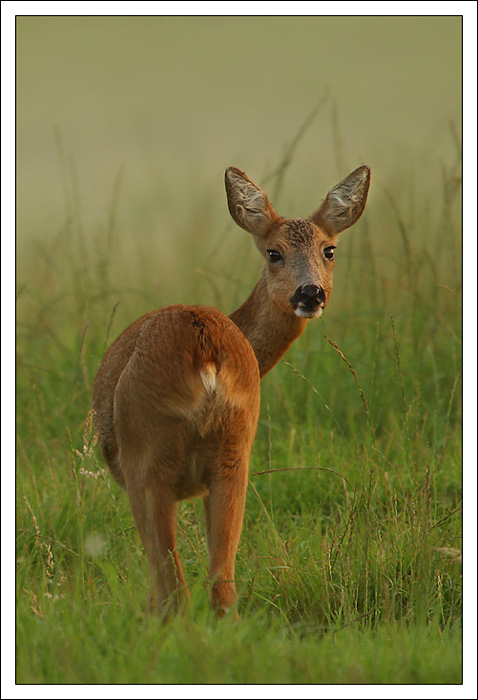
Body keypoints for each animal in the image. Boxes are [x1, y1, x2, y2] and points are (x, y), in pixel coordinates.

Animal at [92, 165, 370, 616]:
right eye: (274, 253)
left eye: (329, 250)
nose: (310, 293)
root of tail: (203, 346)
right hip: (235, 447)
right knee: (221, 586)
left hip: (145, 453)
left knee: (172, 589)